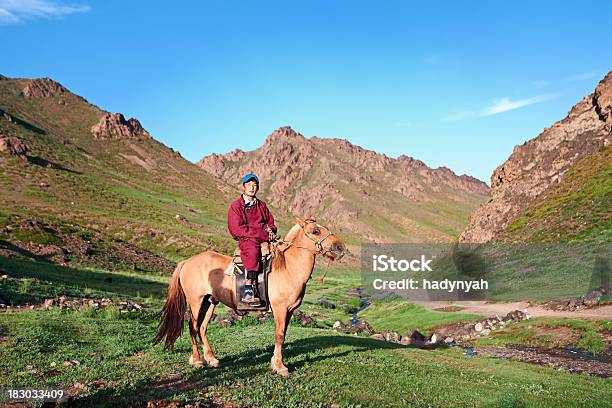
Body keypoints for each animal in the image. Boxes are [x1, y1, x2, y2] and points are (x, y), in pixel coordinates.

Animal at [153, 217, 344, 376]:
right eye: (315, 231)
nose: (340, 248)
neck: (288, 268)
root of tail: (187, 262)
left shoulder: (289, 311)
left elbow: (282, 336)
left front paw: (274, 363)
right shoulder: (280, 309)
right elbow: (279, 335)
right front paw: (280, 367)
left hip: (209, 302)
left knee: (202, 328)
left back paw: (211, 359)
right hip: (195, 302)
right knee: (193, 327)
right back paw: (197, 360)